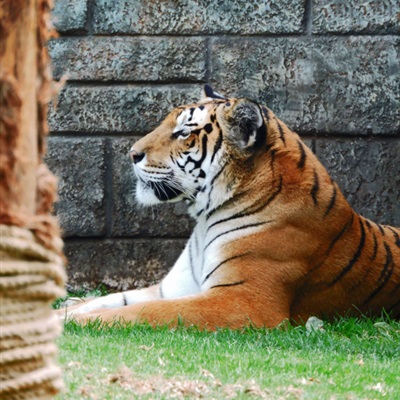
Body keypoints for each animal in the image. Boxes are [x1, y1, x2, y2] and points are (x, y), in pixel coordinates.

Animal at [62, 84, 400, 328]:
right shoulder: (172, 288)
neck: (205, 217)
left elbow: (150, 312)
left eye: (184, 132)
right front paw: (68, 310)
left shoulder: (244, 300)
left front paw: (81, 322)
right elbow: (113, 299)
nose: (132, 153)